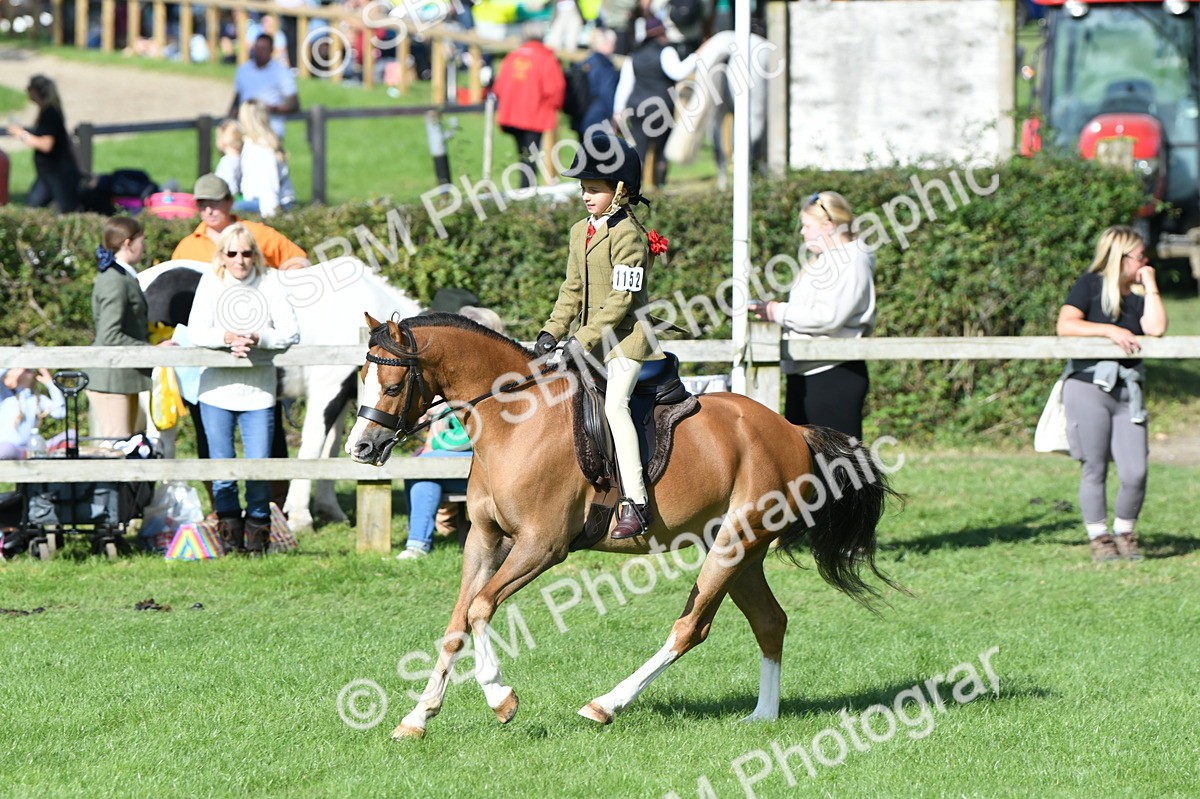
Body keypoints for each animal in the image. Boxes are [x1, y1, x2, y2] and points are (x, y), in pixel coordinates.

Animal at [138, 258, 422, 530]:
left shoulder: (344, 398)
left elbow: (331, 448)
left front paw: (329, 509)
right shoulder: (327, 387)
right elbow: (313, 445)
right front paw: (299, 516)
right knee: (160, 445)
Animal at [346, 313, 899, 738]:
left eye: (392, 385)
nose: (361, 448)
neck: (514, 419)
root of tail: (791, 429)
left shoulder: (540, 547)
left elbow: (481, 609)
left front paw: (501, 698)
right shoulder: (485, 541)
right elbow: (457, 625)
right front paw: (418, 718)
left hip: (734, 544)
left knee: (690, 629)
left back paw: (605, 705)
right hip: (739, 549)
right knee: (770, 621)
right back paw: (762, 716)